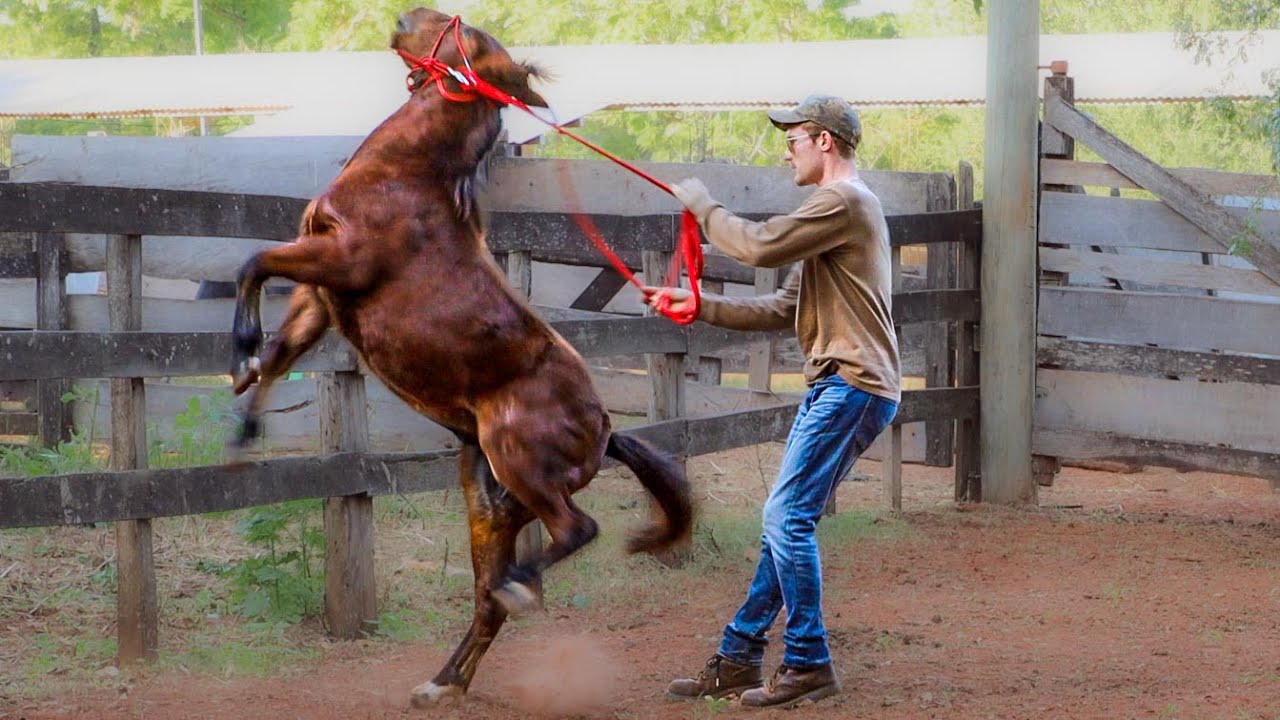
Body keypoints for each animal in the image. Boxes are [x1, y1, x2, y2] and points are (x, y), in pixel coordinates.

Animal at [227, 7, 693, 707]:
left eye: (468, 37)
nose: (404, 18)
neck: (405, 177)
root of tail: (605, 431)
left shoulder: (338, 261)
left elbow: (252, 265)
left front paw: (240, 350)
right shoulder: (320, 295)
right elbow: (281, 353)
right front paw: (245, 418)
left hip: (518, 463)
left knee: (572, 533)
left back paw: (519, 587)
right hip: (492, 502)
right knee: (486, 599)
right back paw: (442, 682)